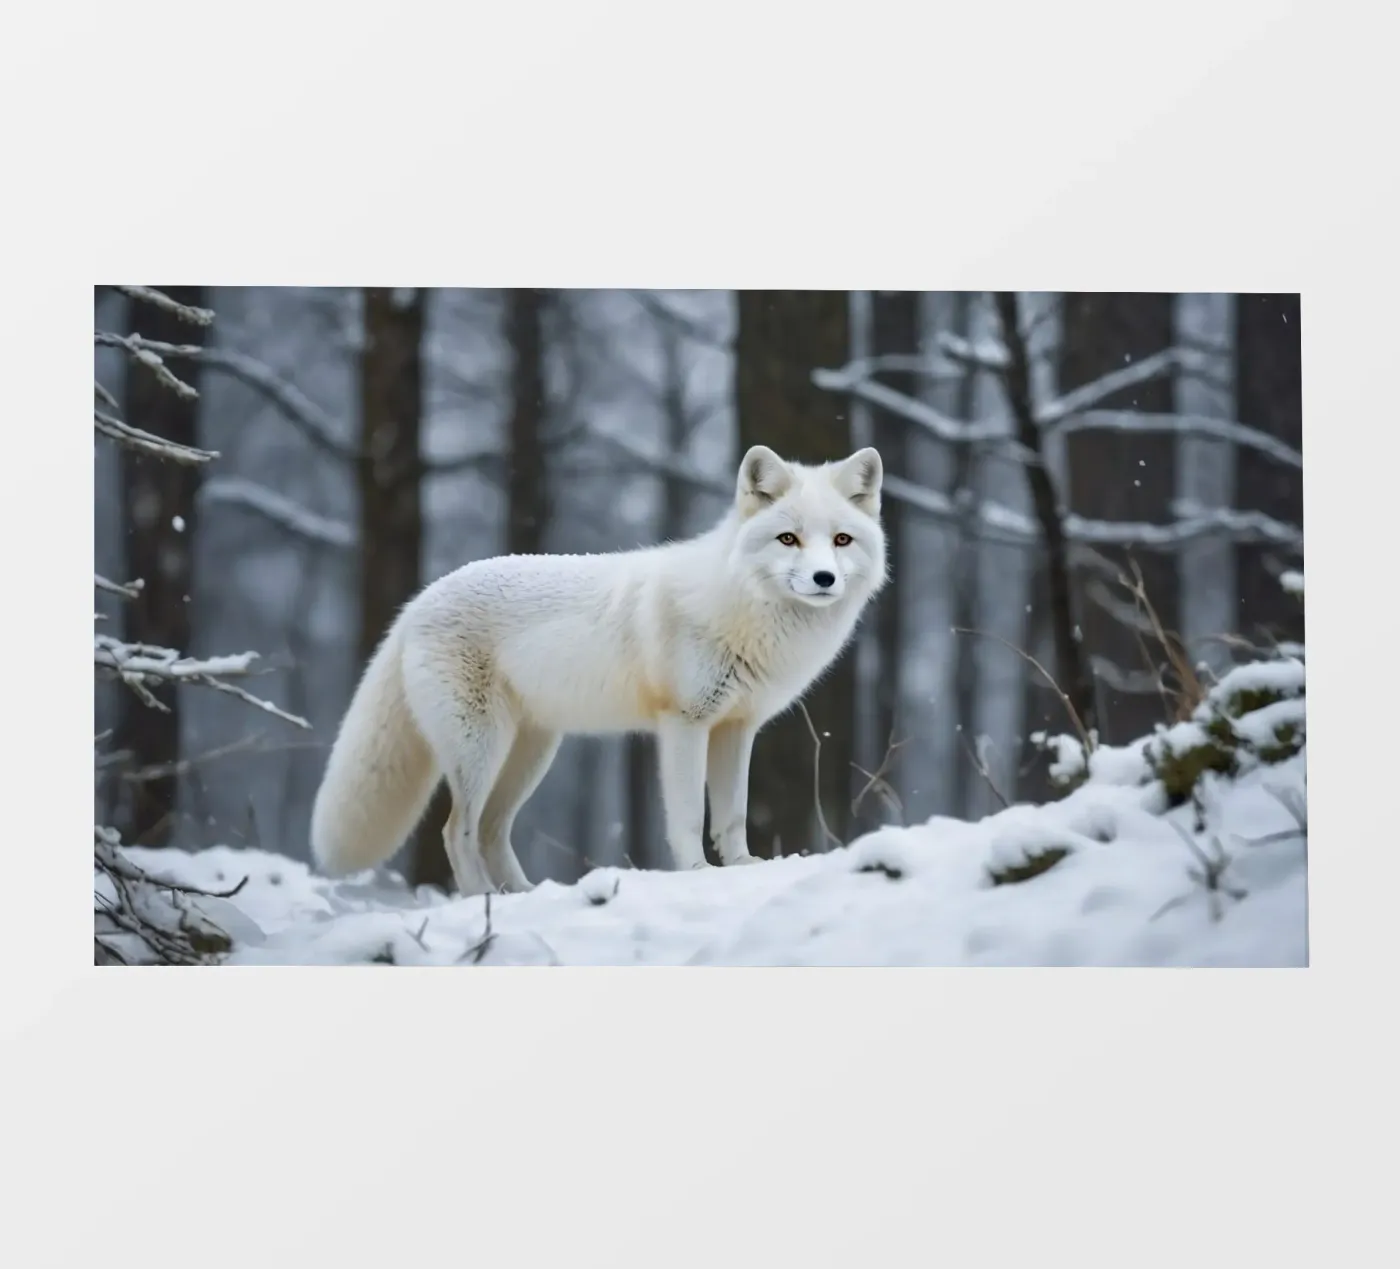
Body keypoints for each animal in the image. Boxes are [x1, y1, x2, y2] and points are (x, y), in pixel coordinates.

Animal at [309, 443, 887, 896]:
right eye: (788, 539)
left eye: (841, 540)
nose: (824, 578)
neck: (739, 609)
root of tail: (419, 600)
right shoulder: (684, 724)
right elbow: (687, 817)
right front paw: (697, 872)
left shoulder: (736, 728)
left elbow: (733, 816)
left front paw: (744, 868)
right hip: (481, 749)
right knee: (456, 831)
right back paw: (483, 899)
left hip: (531, 754)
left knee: (492, 830)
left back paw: (522, 893)